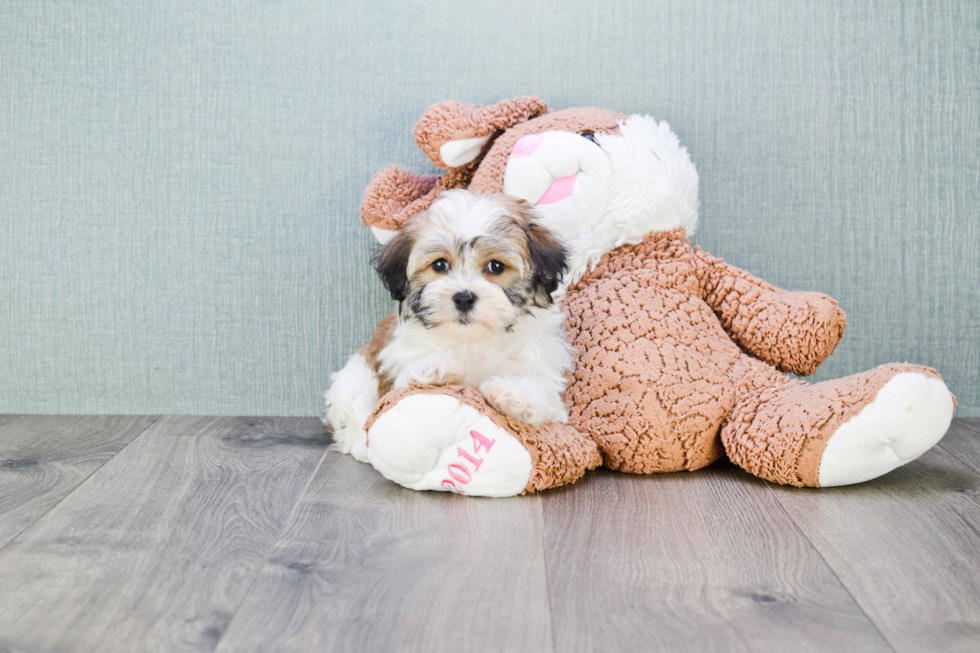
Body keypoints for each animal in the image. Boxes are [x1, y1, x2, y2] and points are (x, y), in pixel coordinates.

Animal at [328, 188, 572, 460]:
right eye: (440, 264)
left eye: (496, 266)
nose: (464, 297)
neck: (471, 339)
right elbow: (403, 383)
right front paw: (434, 368)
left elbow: (545, 398)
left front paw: (513, 394)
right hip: (356, 373)